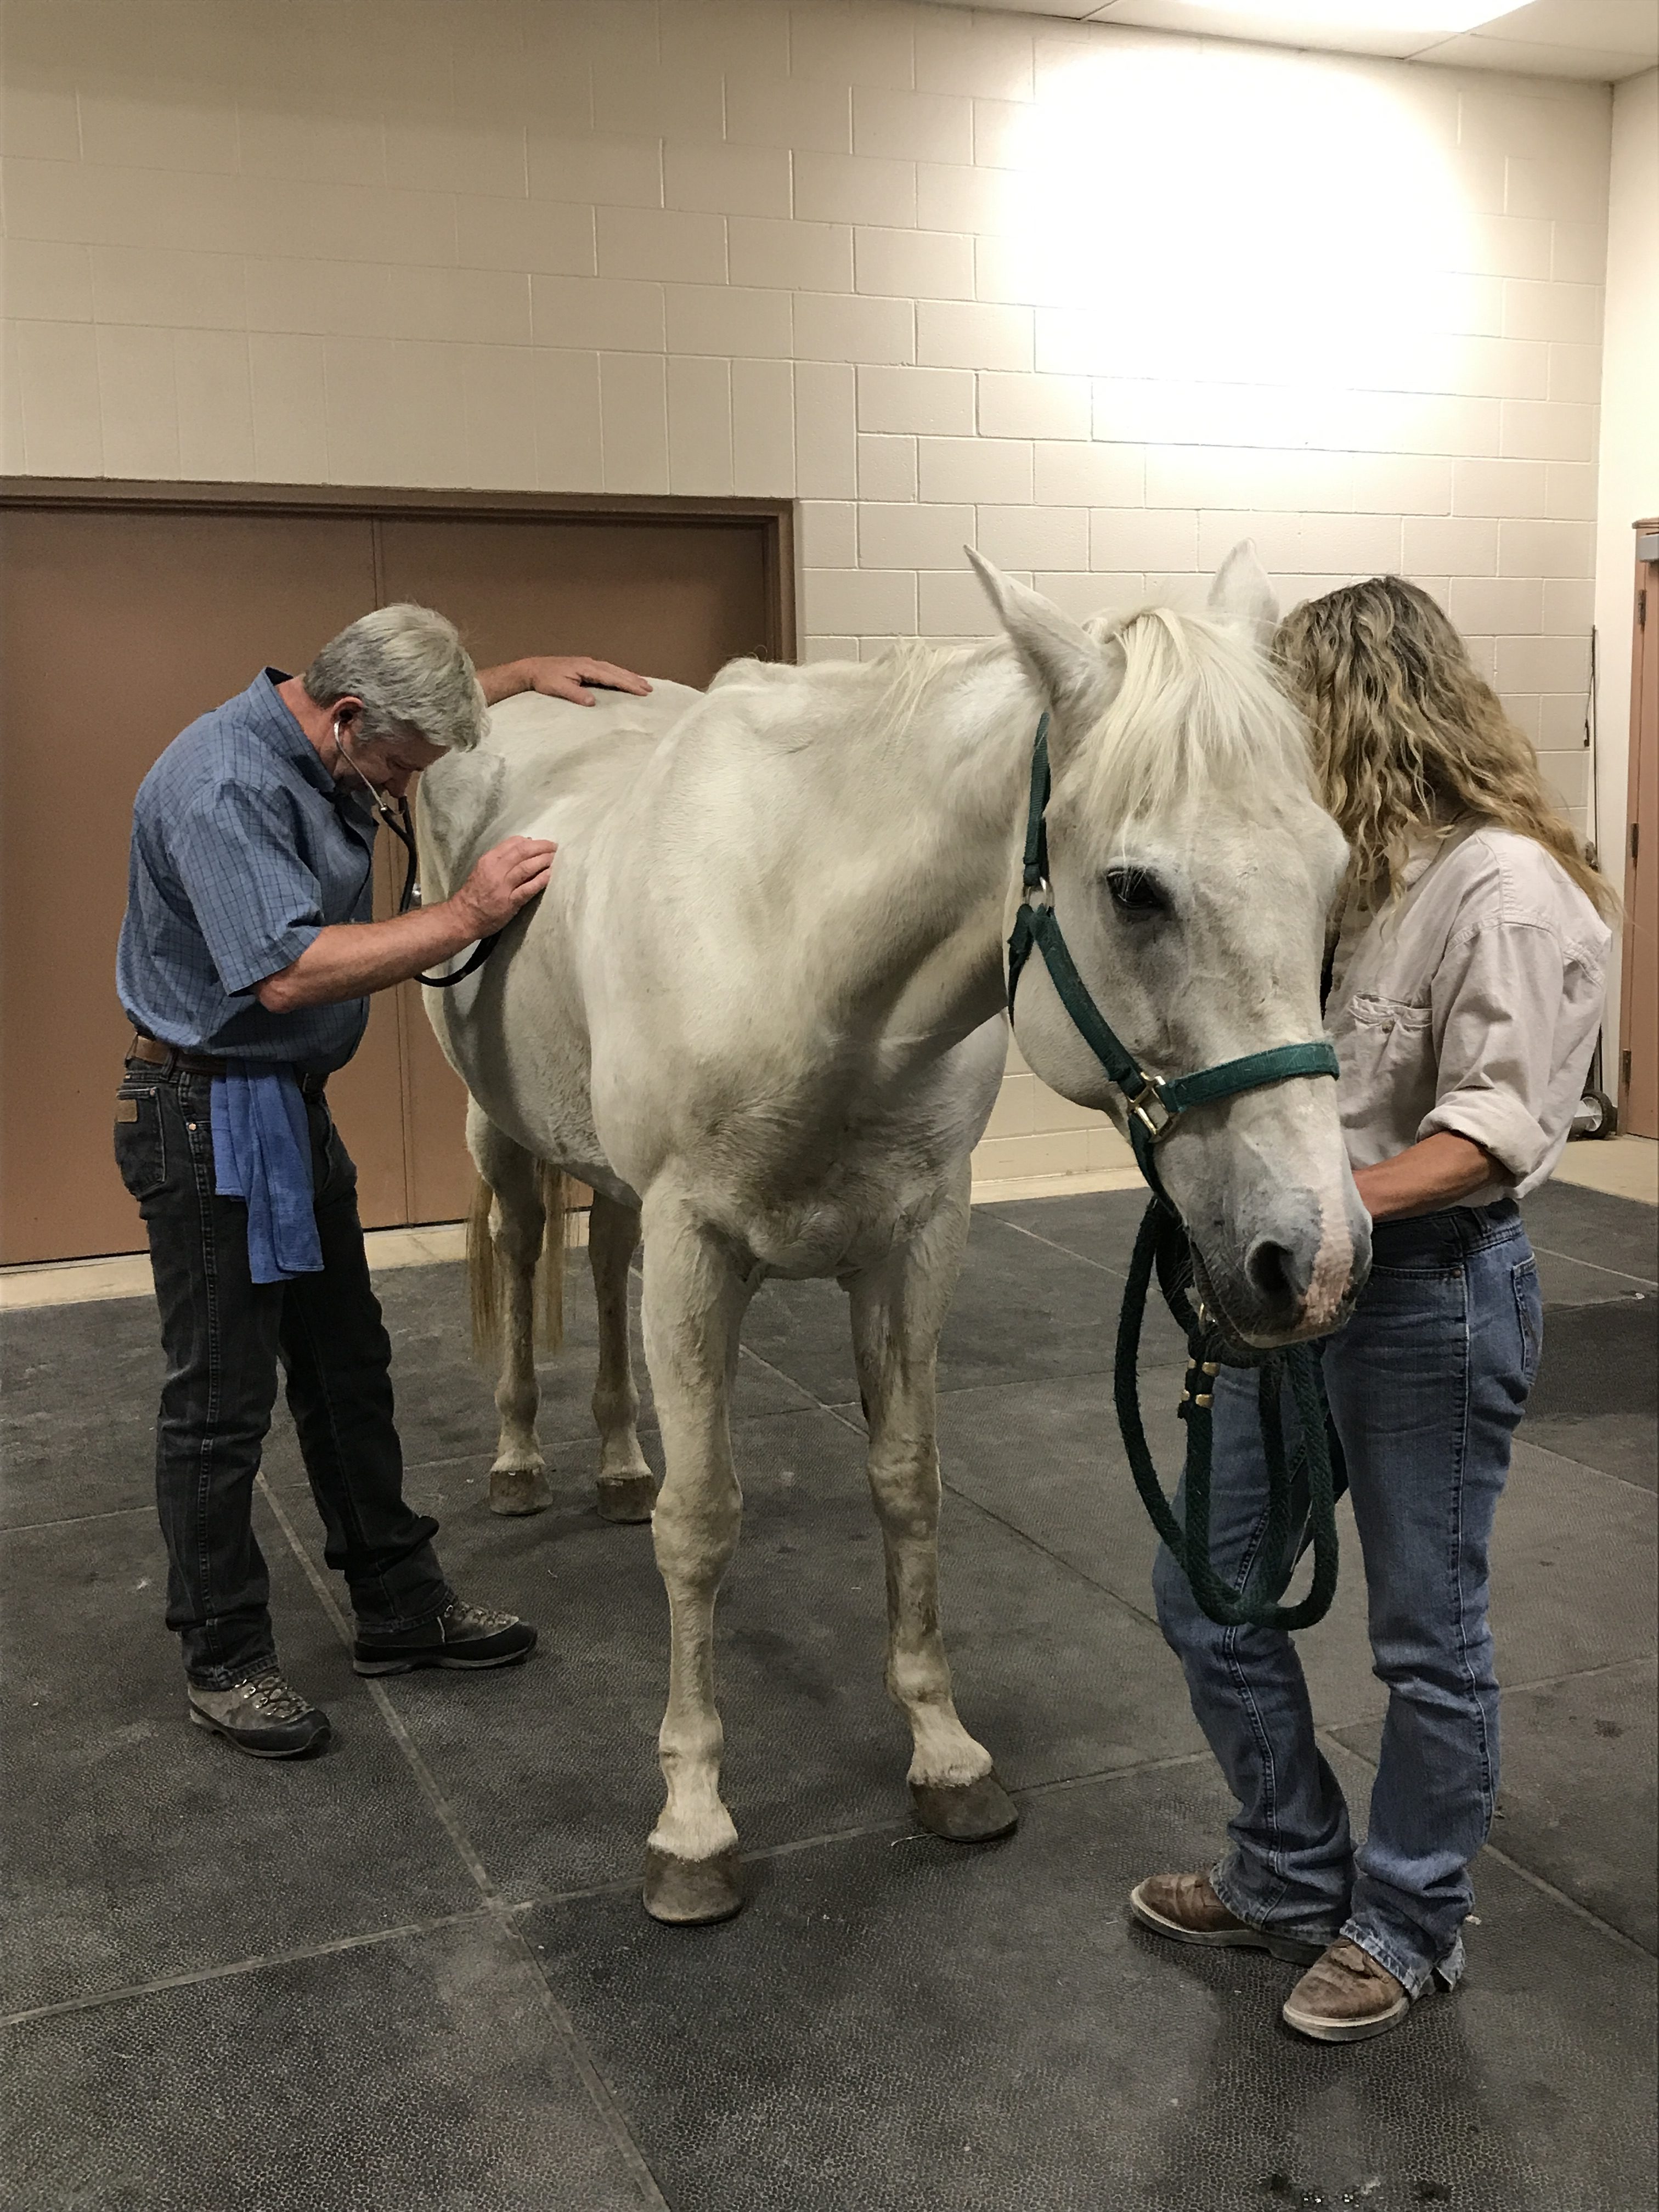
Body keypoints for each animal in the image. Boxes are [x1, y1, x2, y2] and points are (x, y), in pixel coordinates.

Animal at [422, 548, 1371, 1920]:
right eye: (1134, 890)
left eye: (1336, 869)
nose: (1318, 1260)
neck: (804, 947)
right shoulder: (698, 1249)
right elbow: (701, 1525)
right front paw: (693, 1821)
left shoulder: (918, 1238)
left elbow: (909, 1486)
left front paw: (944, 1754)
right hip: (501, 1135)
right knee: (522, 1248)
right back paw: (518, 1461)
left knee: (600, 1271)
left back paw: (611, 1461)